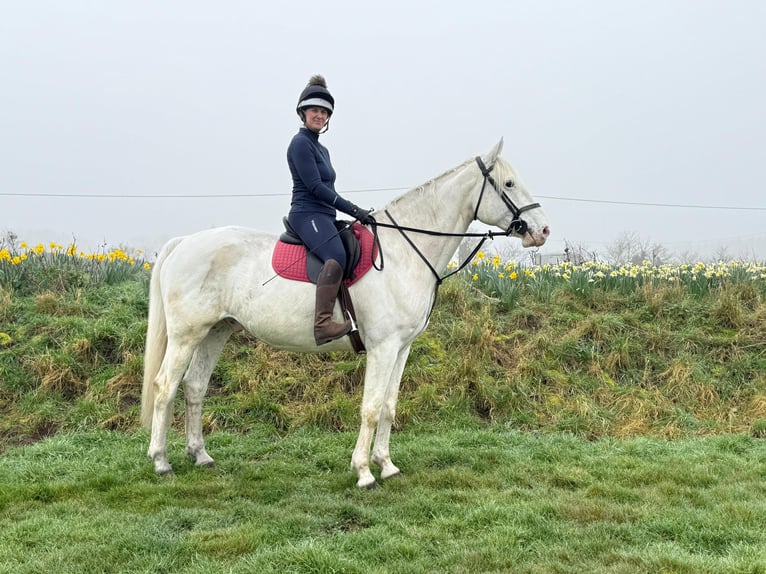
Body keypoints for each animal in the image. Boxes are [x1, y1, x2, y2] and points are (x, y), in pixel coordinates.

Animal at [140, 139, 550, 488]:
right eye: (509, 183)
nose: (542, 229)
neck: (404, 251)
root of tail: (184, 243)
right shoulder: (383, 347)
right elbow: (371, 408)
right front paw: (365, 472)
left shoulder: (401, 348)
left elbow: (389, 407)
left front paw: (387, 466)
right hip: (186, 335)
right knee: (165, 387)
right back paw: (161, 462)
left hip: (216, 331)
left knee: (194, 387)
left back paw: (201, 456)